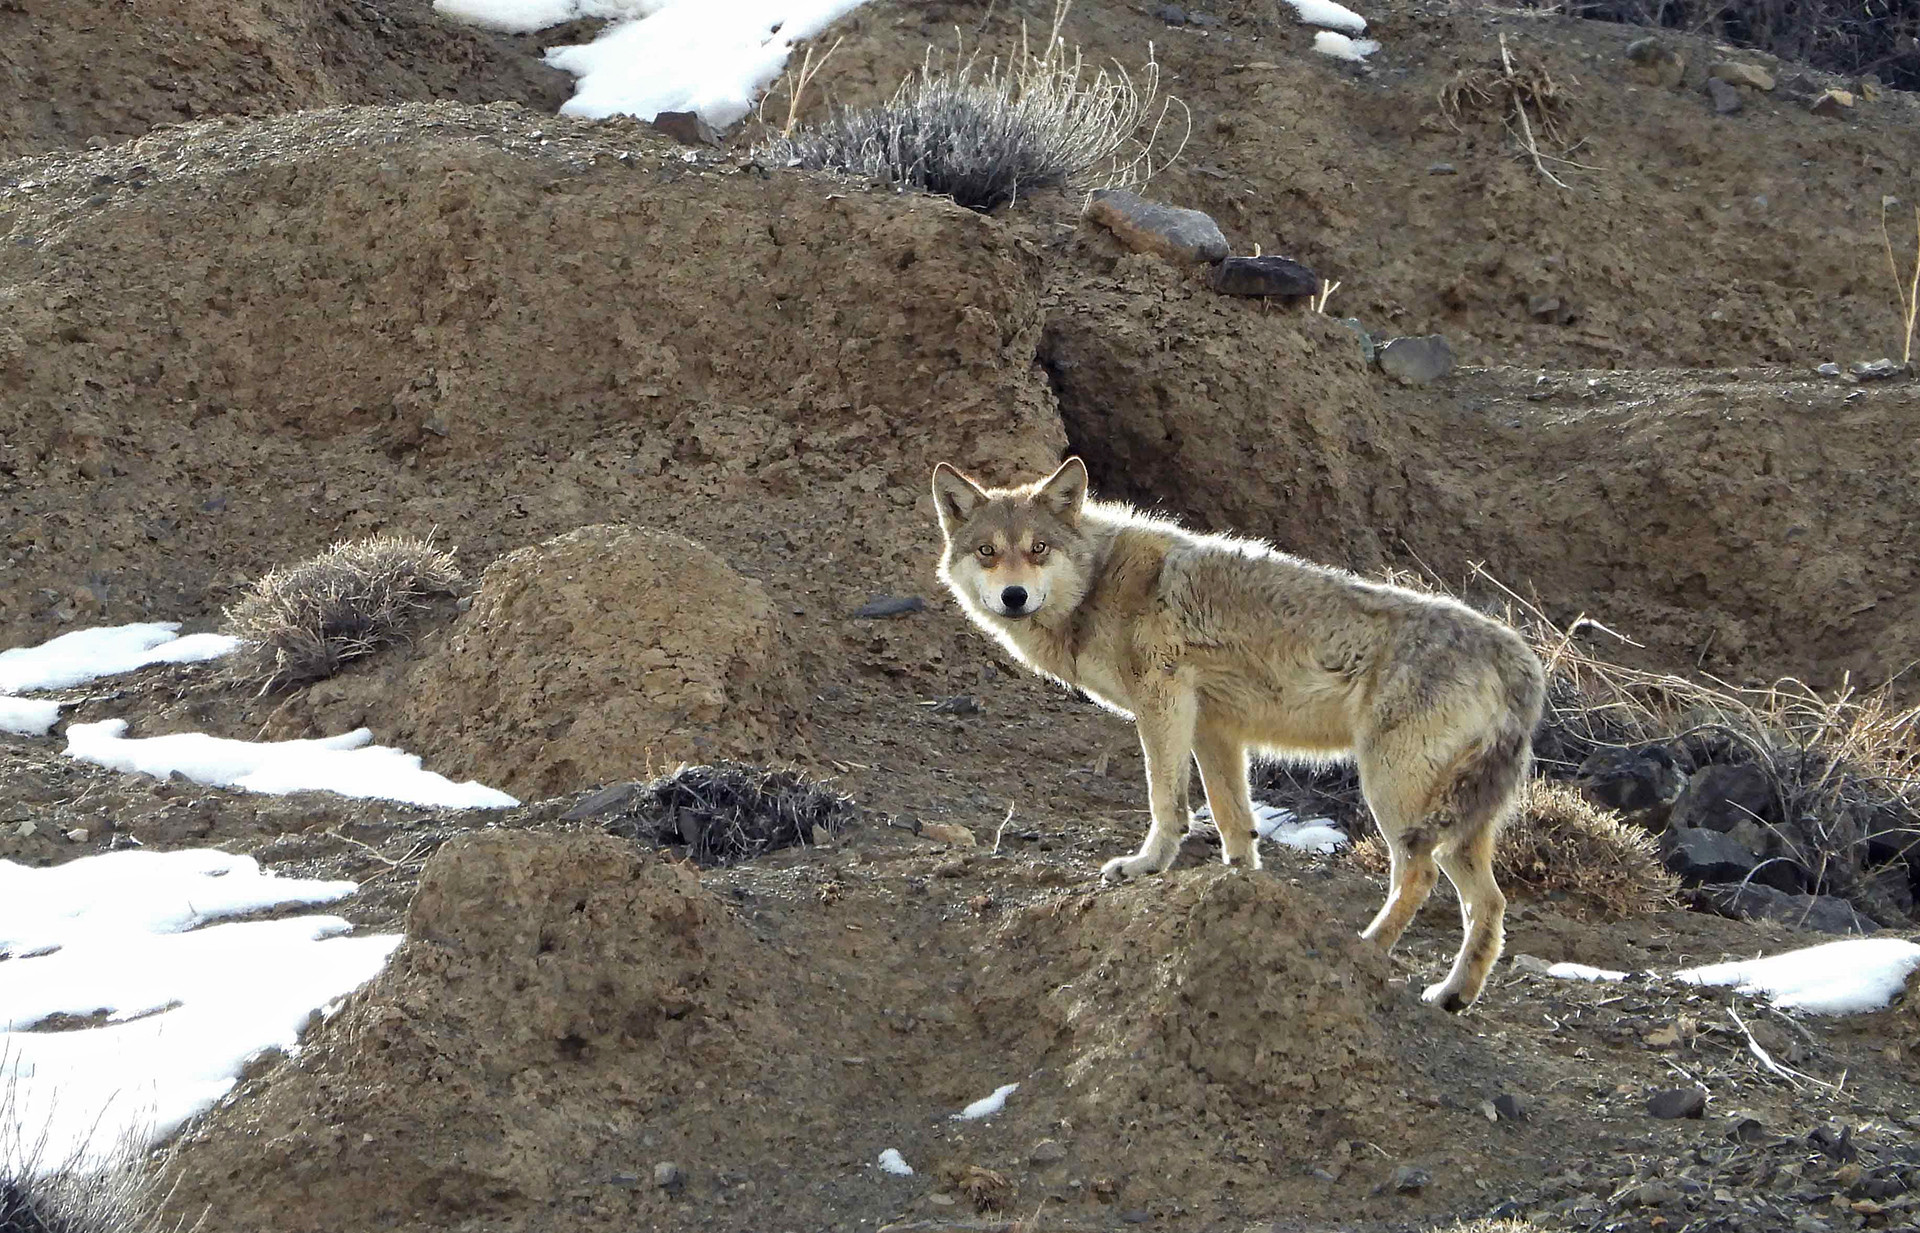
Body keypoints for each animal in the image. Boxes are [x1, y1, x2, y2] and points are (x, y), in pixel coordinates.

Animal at [929, 457, 1543, 1006]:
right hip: (1458, 826)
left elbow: (1166, 803)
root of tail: (1520, 657)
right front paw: (1240, 891)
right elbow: (1233, 821)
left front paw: (1146, 866)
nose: (1013, 596)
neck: (1099, 584)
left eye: (1038, 549)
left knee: (1419, 876)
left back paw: (1367, 948)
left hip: (1392, 795)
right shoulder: (1214, 728)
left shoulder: (1162, 704)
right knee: (1490, 905)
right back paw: (1452, 995)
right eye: (987, 551)